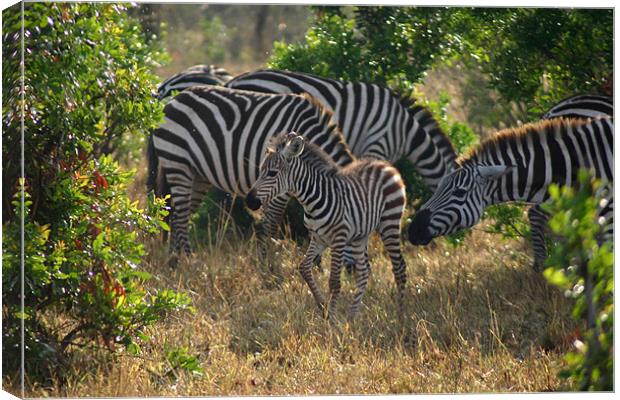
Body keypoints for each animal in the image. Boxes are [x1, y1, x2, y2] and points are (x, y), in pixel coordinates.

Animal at [147, 85, 354, 258]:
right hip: (177, 162)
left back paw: (174, 259)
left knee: (176, 214)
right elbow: (271, 226)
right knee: (181, 216)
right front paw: (267, 266)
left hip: (197, 174)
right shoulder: (279, 190)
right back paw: (189, 261)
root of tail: (172, 100)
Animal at [245, 133, 410, 320]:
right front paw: (324, 308)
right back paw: (352, 318)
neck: (312, 200)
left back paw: (400, 317)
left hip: (390, 221)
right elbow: (304, 268)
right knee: (364, 271)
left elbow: (334, 282)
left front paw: (332, 320)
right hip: (360, 235)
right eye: (260, 171)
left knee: (399, 267)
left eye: (272, 173)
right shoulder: (318, 238)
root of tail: (385, 165)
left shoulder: (338, 239)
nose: (249, 202)